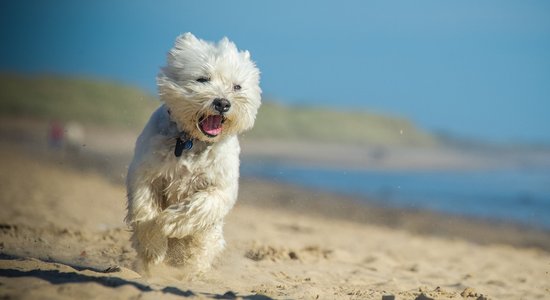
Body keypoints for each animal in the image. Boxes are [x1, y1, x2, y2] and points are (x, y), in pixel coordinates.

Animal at [125, 33, 264, 274]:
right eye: (202, 79)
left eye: (237, 86)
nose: (222, 103)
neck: (192, 141)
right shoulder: (146, 174)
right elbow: (145, 209)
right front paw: (153, 248)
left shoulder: (221, 186)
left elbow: (201, 205)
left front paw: (169, 222)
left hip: (212, 237)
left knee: (202, 246)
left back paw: (189, 268)